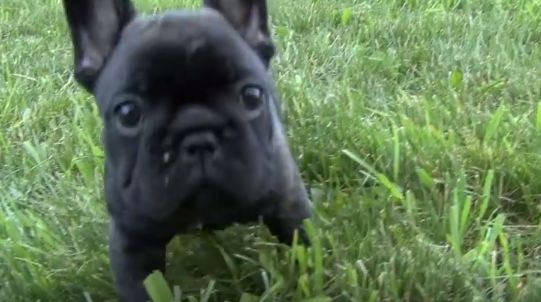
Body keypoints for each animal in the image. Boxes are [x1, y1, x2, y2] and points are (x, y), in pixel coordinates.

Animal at [61, 0, 312, 300]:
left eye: (252, 96)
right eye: (128, 113)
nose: (197, 135)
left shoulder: (289, 207)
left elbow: (305, 248)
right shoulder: (130, 239)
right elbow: (141, 288)